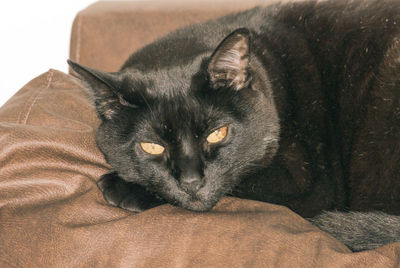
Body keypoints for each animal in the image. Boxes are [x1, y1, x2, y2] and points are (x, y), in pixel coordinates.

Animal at [67, 0, 398, 251]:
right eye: (151, 146)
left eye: (218, 133)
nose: (191, 182)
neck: (270, 68)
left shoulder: (307, 184)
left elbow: (240, 183)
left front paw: (121, 187)